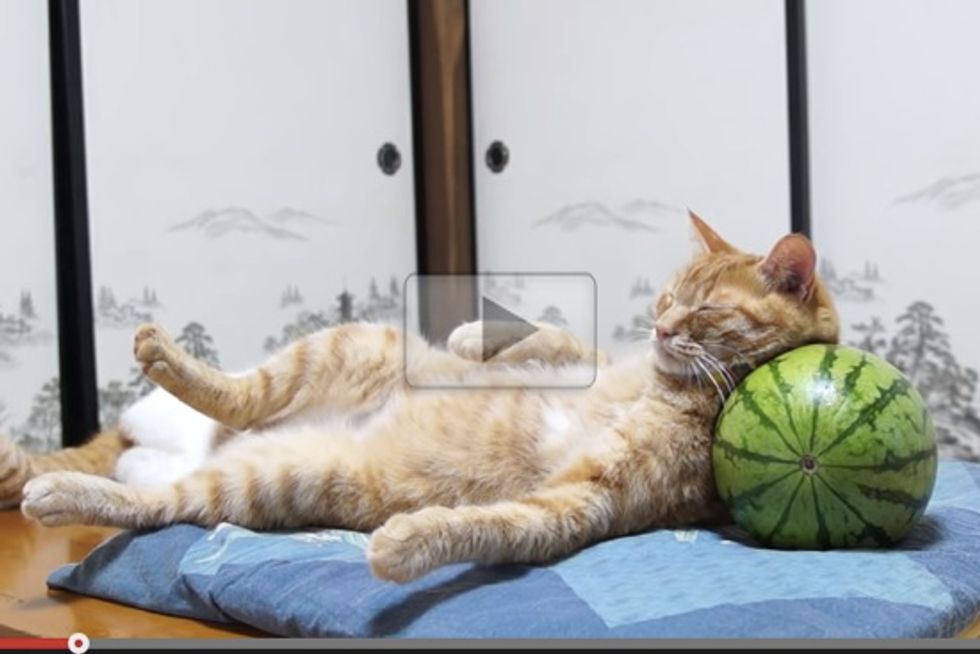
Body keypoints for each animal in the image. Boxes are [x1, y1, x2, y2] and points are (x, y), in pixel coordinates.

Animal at [3, 215, 840, 584]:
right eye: (667, 298)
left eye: (704, 311)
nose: (663, 327)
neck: (675, 386)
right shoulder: (604, 361)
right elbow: (558, 340)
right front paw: (474, 337)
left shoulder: (589, 501)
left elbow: (497, 525)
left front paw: (406, 544)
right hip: (352, 343)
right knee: (235, 397)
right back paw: (162, 357)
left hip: (269, 479)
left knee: (151, 501)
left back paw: (56, 490)